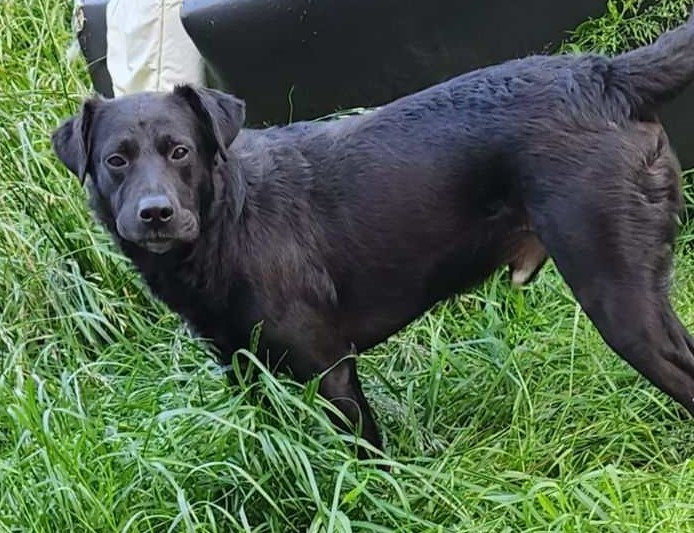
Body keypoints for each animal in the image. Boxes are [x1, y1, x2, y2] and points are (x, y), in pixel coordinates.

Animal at [53, 11, 694, 454]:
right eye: (116, 161)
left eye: (180, 151)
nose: (155, 213)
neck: (228, 221)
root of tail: (604, 73)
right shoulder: (247, 376)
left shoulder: (331, 371)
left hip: (618, 295)